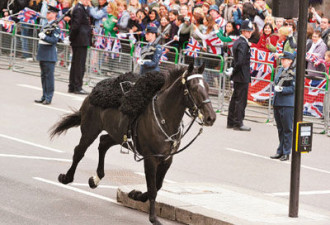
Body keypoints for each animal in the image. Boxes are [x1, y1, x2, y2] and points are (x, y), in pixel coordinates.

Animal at [50, 63, 217, 225]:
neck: (164, 117)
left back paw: (96, 178)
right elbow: (152, 188)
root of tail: (92, 93)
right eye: (194, 88)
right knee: (79, 151)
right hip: (90, 130)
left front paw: (136, 195)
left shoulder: (167, 159)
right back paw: (67, 177)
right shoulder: (150, 159)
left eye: (208, 88)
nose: (211, 117)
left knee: (103, 143)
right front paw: (153, 218)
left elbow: (158, 185)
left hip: (117, 135)